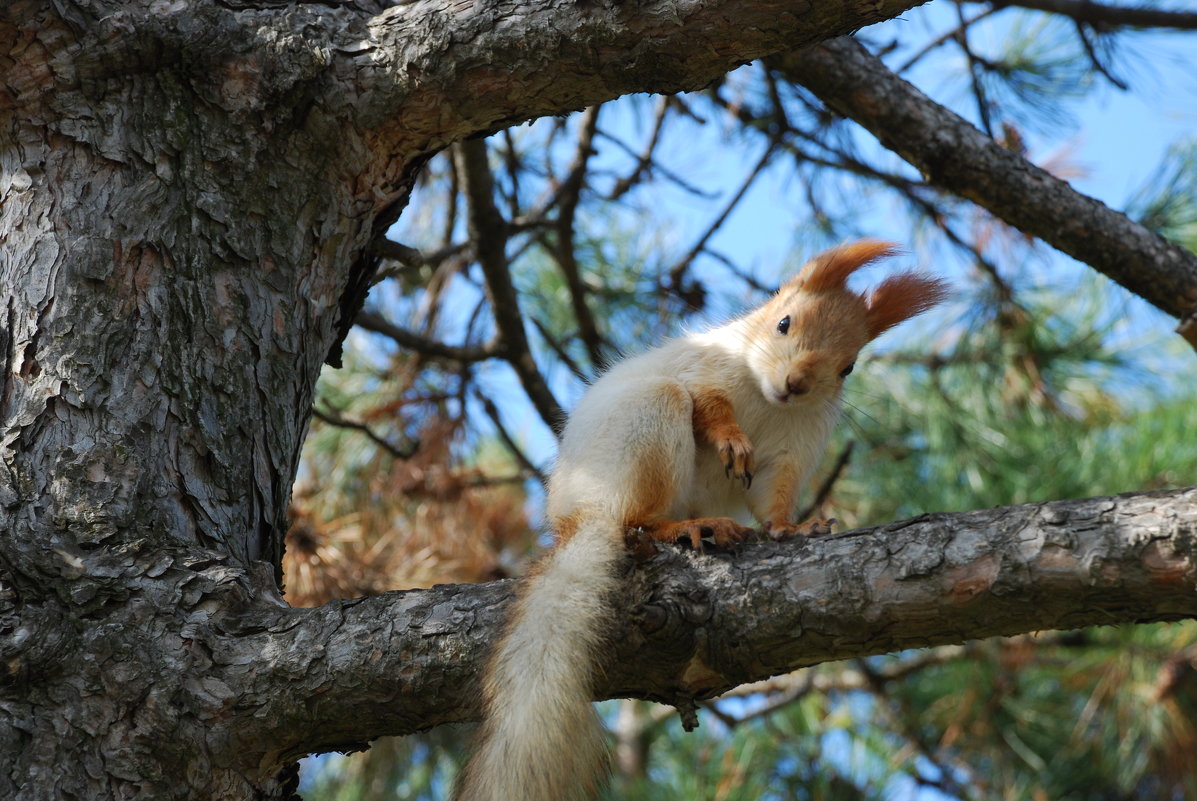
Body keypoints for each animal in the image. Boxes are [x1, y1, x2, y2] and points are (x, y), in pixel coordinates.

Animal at [452, 239, 948, 799]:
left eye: (848, 367)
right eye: (784, 322)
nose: (796, 384)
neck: (765, 398)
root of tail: (575, 519)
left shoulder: (795, 449)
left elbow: (775, 496)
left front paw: (791, 527)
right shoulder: (704, 368)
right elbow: (708, 403)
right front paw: (730, 437)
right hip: (647, 422)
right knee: (636, 518)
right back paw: (684, 528)